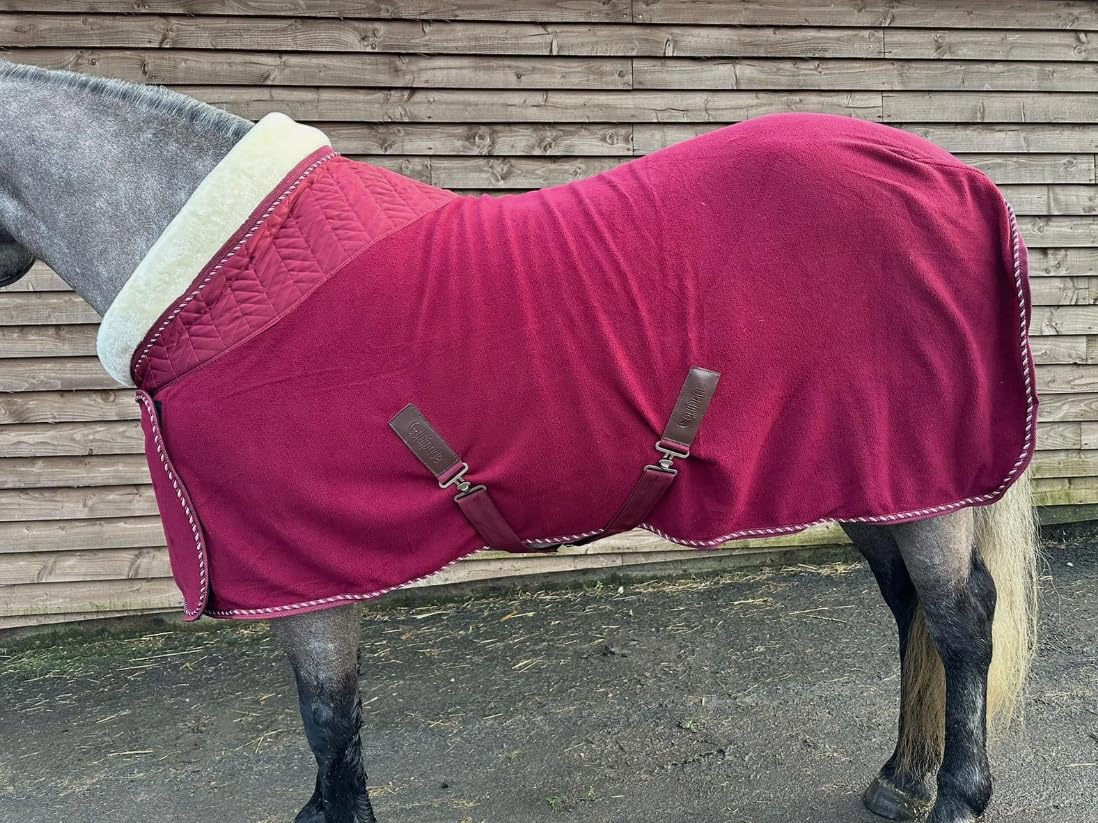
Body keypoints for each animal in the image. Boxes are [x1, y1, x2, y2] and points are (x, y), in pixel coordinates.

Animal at [0, 62, 1039, 823]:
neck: (221, 284)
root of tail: (954, 174)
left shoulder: (307, 572)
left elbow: (328, 719)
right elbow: (334, 725)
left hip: (917, 478)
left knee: (961, 622)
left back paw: (956, 797)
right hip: (877, 477)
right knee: (911, 614)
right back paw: (900, 779)